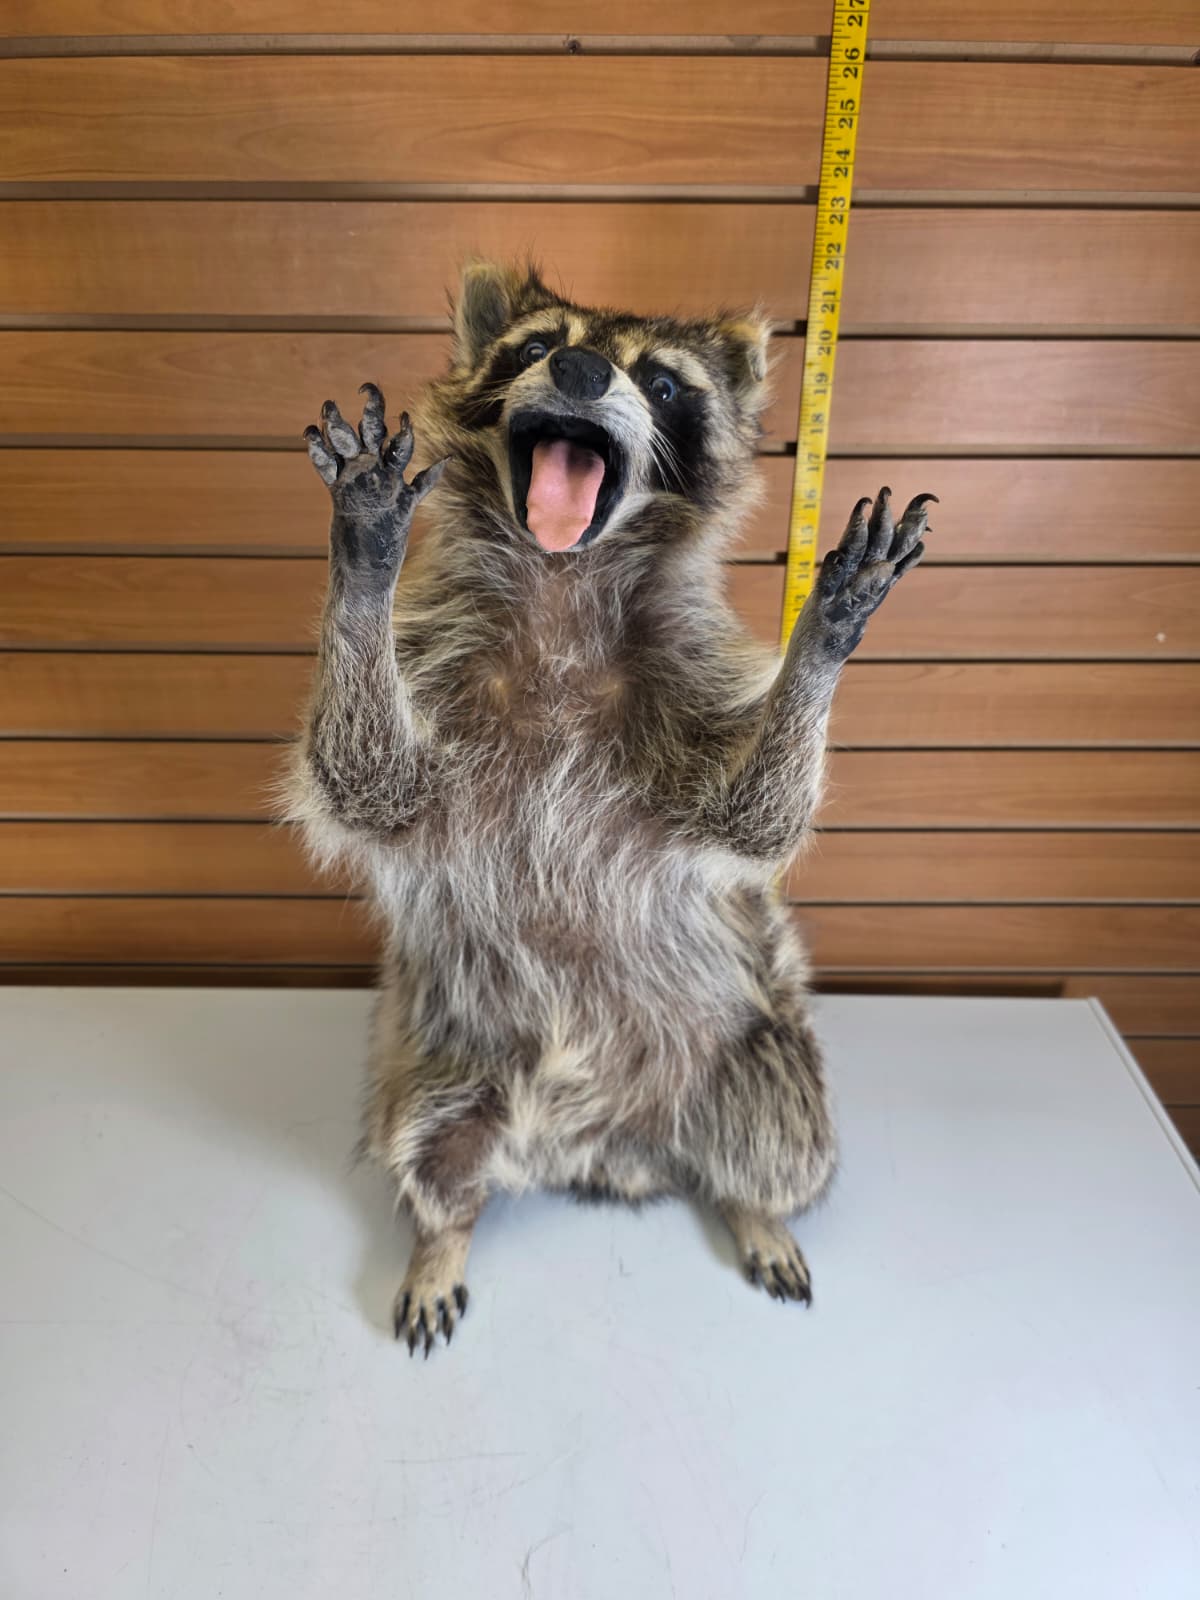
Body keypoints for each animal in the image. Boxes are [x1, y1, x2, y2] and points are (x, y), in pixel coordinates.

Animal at [288, 261, 932, 1355]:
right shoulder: (440, 666)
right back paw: (442, 1232)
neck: (562, 578)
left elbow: (757, 820)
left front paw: (819, 640)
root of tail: (610, 1148)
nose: (584, 371)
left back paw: (755, 1207)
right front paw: (363, 562)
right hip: (449, 1058)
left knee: (782, 1130)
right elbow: (364, 777)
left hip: (758, 1051)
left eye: (662, 381)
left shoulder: (686, 687)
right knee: (426, 1142)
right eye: (537, 346)